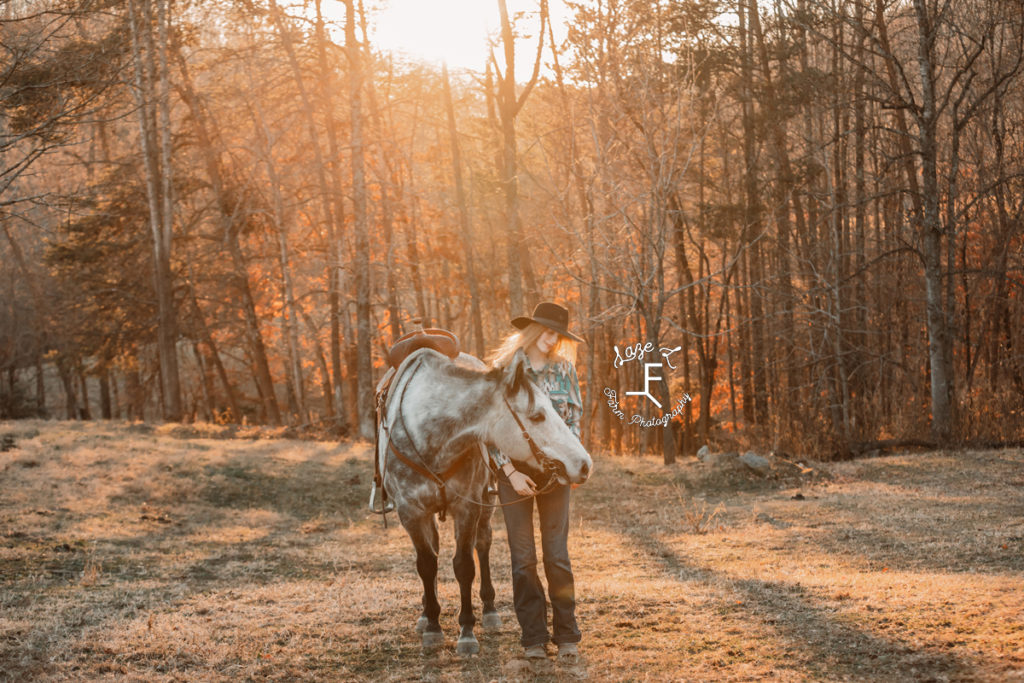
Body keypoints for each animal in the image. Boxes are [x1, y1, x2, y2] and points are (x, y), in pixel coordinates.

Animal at [376, 350, 593, 655]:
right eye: (537, 415)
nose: (584, 464)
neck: (431, 438)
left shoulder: (467, 508)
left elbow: (465, 565)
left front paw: (467, 631)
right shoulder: (410, 512)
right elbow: (427, 565)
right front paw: (433, 627)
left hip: (484, 503)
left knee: (483, 543)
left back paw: (489, 610)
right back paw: (425, 613)